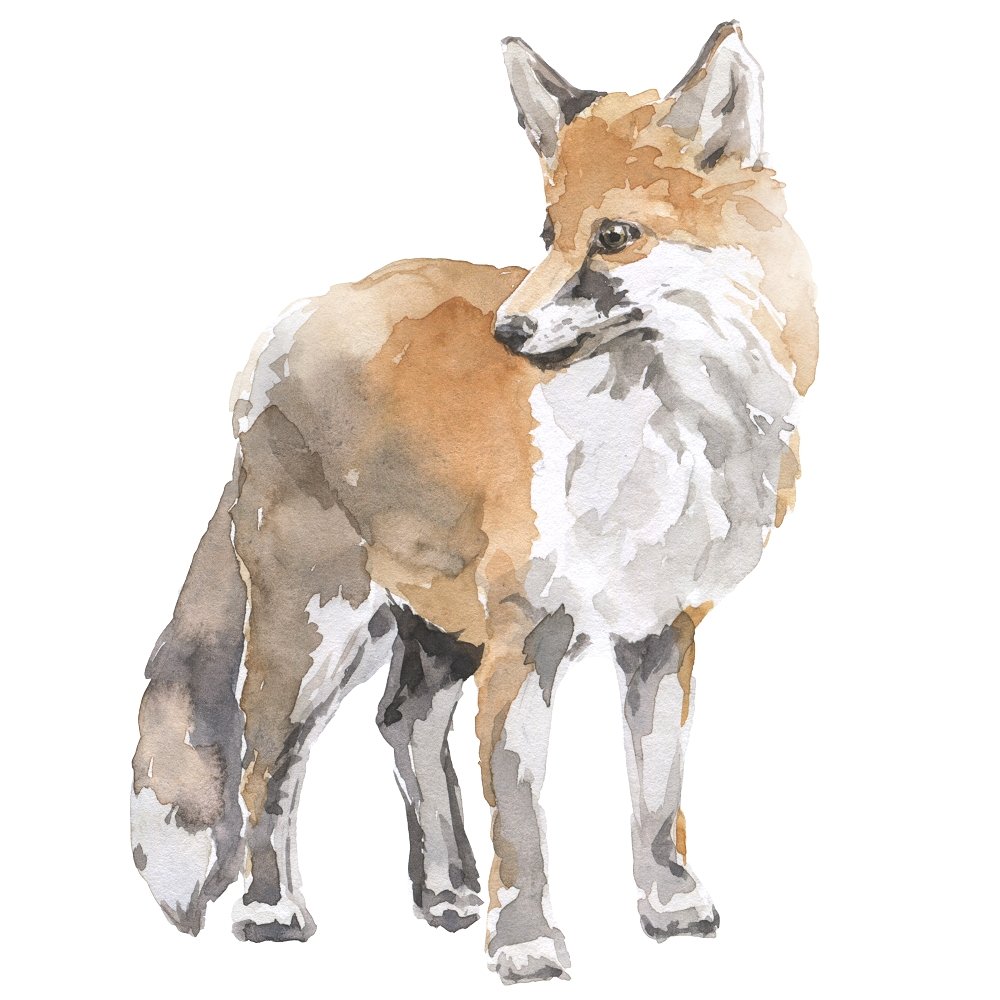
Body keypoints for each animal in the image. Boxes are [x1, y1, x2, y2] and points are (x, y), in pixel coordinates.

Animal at [131, 21, 817, 984]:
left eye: (613, 236)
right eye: (545, 232)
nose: (510, 332)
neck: (661, 441)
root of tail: (290, 324)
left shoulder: (658, 629)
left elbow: (656, 794)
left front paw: (668, 907)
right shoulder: (527, 636)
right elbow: (522, 820)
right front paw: (527, 944)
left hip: (436, 626)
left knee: (405, 727)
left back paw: (442, 890)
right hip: (314, 630)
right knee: (269, 766)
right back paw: (272, 911)